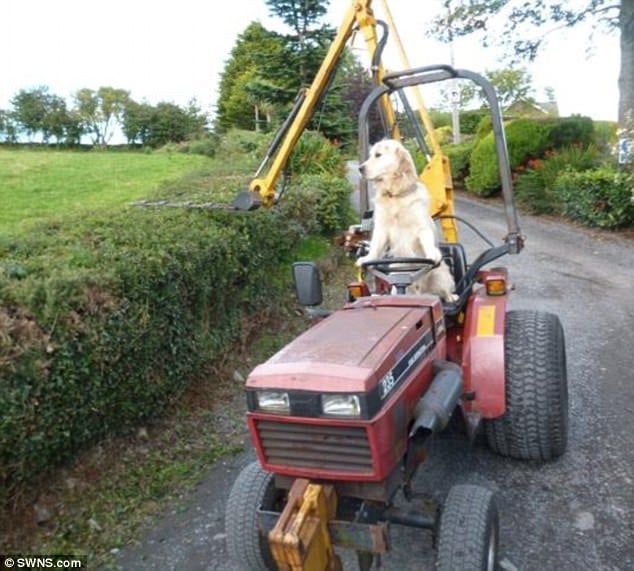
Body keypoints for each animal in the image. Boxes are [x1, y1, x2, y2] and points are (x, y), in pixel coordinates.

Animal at [356, 140, 454, 304]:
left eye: (378, 155)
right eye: (371, 155)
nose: (360, 168)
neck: (396, 196)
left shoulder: (421, 227)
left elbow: (427, 240)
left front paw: (432, 254)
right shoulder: (382, 229)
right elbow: (375, 246)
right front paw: (366, 258)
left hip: (441, 276)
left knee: (445, 290)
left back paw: (451, 297)